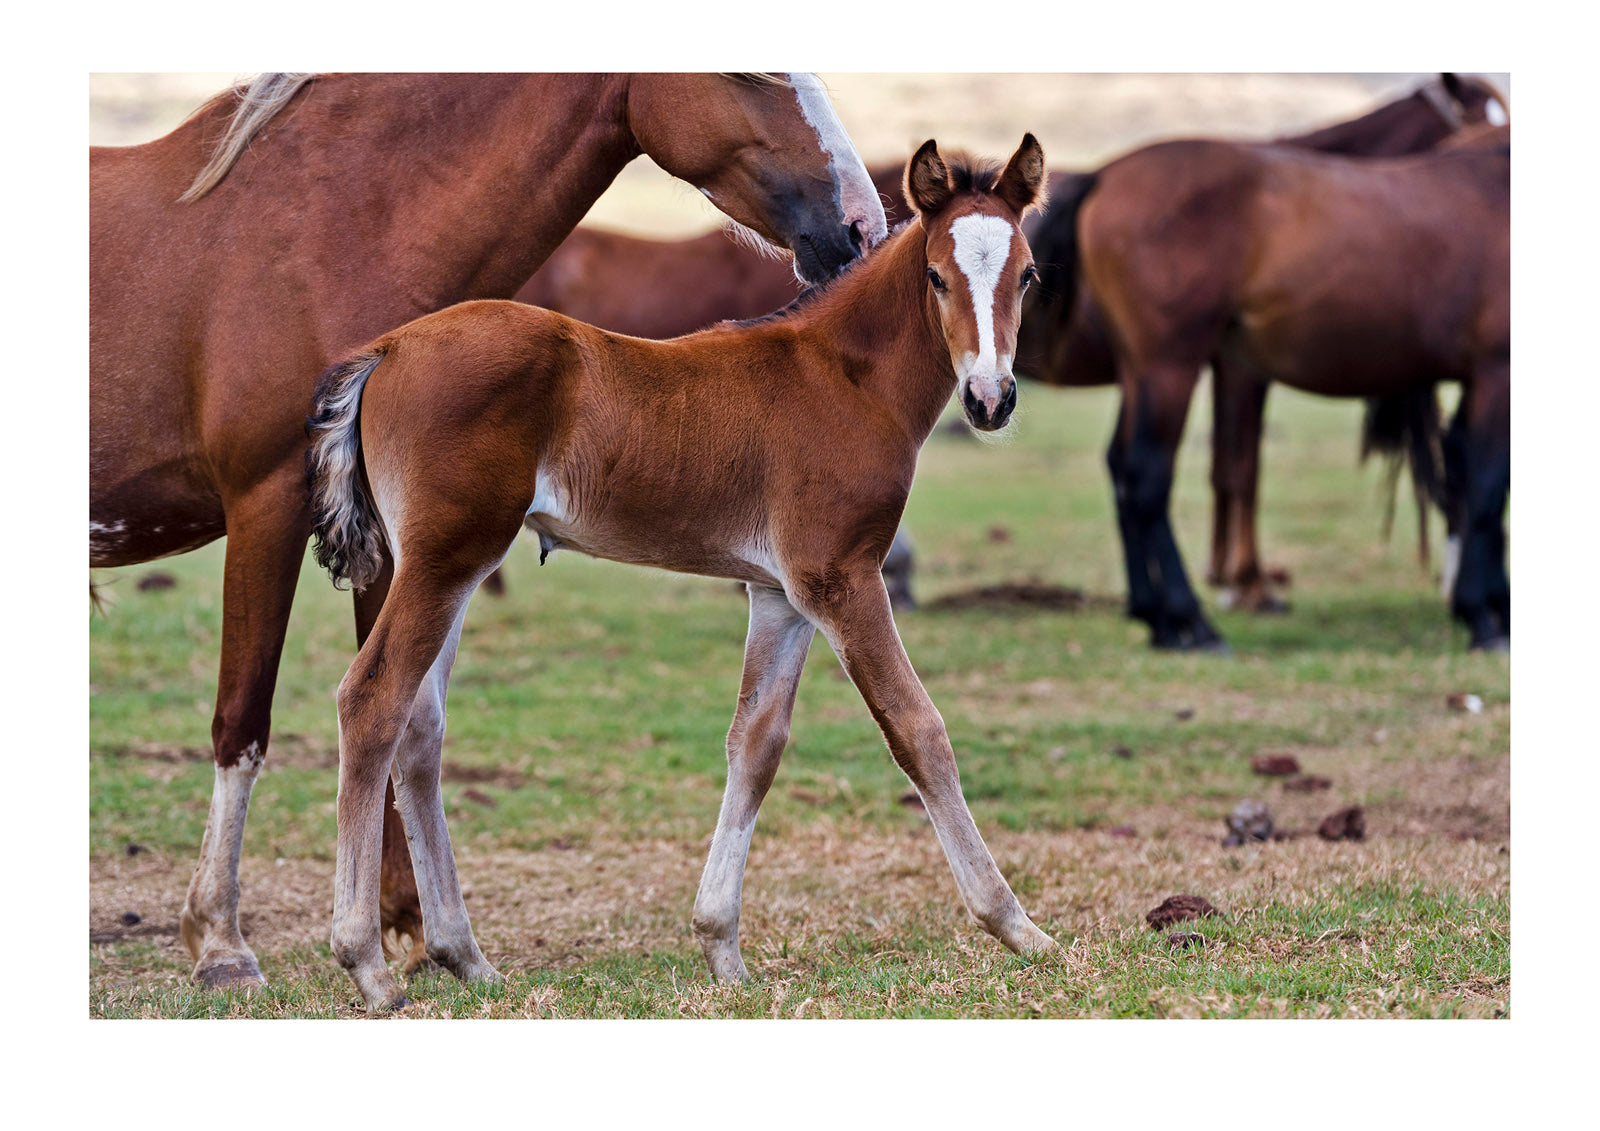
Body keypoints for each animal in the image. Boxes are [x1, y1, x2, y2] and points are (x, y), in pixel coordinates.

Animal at [87, 70, 889, 991]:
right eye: (747, 73)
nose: (863, 225)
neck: (330, 225)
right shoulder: (268, 506)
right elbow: (244, 722)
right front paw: (221, 939)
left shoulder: (400, 548)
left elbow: (406, 725)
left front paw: (413, 924)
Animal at [308, 136, 1062, 1011]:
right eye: (938, 275)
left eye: (1028, 274)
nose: (990, 397)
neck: (842, 376)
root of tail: (387, 348)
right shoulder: (842, 577)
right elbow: (918, 729)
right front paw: (1017, 926)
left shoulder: (782, 593)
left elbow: (757, 742)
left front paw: (722, 946)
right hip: (444, 559)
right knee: (373, 700)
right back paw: (366, 961)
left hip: (445, 567)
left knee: (420, 729)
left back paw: (466, 956)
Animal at [1017, 75, 1504, 623]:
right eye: (1473, 120)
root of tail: (1101, 177)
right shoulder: (1239, 371)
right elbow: (1240, 469)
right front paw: (1245, 583)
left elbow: (1227, 467)